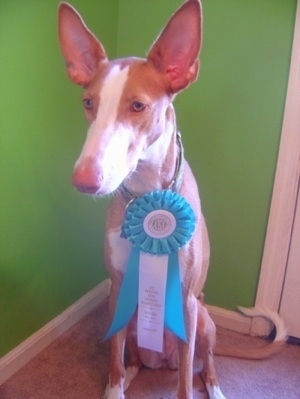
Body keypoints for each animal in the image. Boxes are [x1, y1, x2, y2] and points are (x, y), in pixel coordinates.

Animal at [58, 1, 286, 398]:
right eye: (88, 103)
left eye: (138, 106)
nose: (84, 181)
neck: (148, 192)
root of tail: (161, 360)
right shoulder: (116, 289)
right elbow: (114, 357)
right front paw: (113, 387)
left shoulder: (187, 301)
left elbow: (184, 383)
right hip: (133, 316)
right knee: (133, 358)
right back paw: (131, 376)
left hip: (205, 320)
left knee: (203, 365)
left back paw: (214, 387)